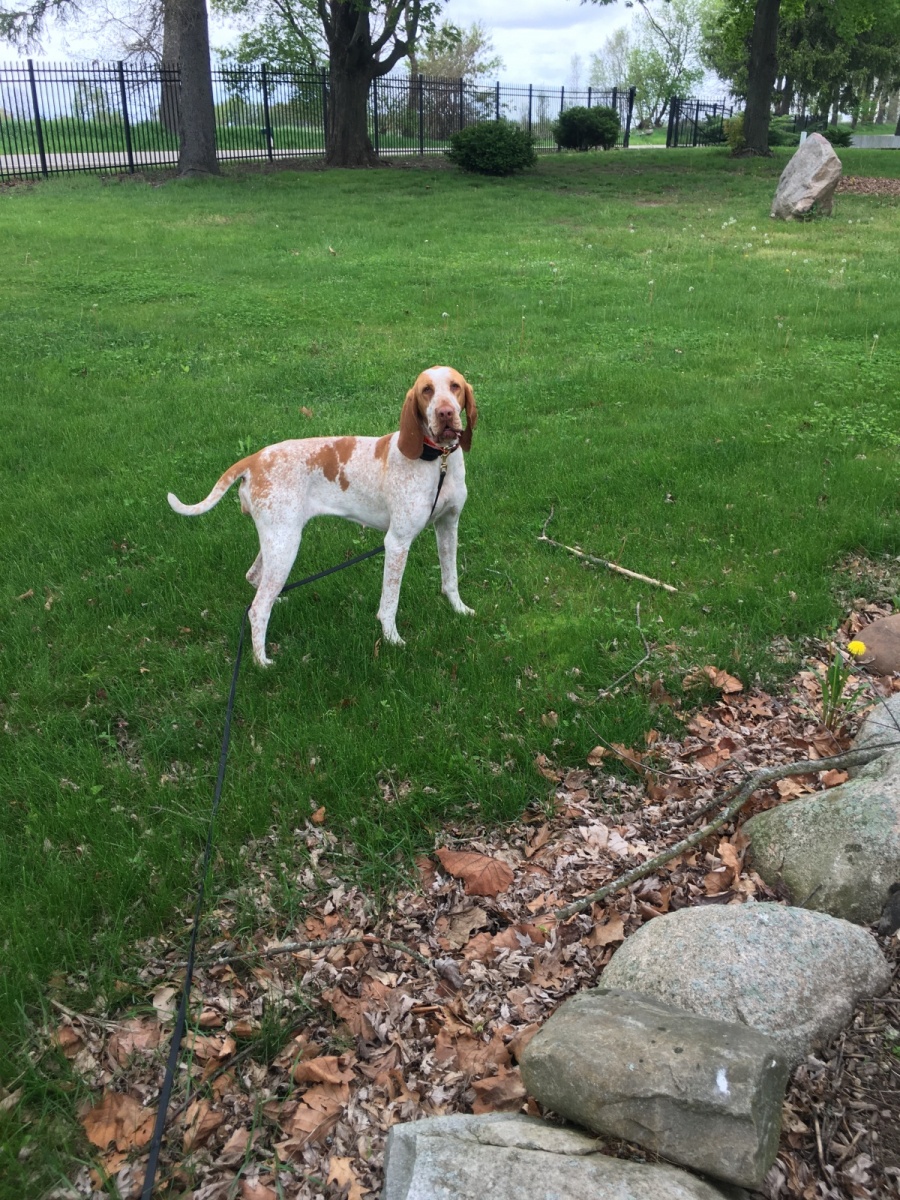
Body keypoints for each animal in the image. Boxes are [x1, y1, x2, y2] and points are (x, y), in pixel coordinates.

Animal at [167, 366, 477, 666]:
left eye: (455, 386)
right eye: (426, 390)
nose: (445, 413)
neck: (439, 461)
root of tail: (254, 459)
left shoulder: (448, 526)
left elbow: (450, 578)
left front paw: (459, 609)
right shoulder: (397, 542)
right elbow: (390, 602)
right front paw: (392, 640)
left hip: (277, 540)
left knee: (255, 579)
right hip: (285, 543)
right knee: (258, 608)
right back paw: (261, 661)